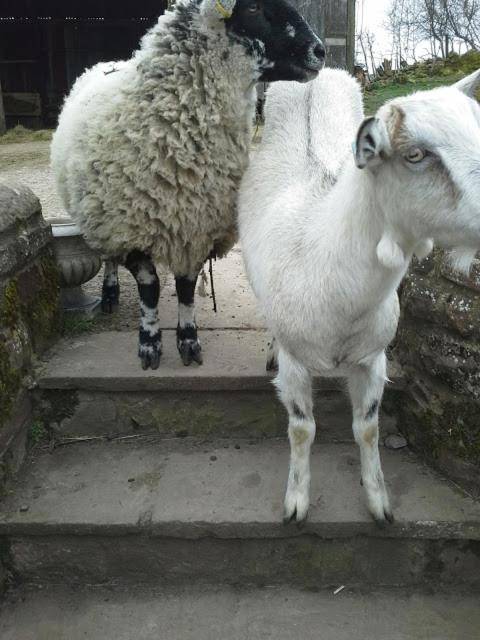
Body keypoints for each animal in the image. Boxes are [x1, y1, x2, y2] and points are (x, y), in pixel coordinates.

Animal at [50, 0, 324, 368]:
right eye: (253, 8)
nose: (320, 51)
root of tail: (106, 63)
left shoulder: (196, 228)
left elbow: (185, 287)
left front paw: (189, 340)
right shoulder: (129, 228)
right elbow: (150, 286)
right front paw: (150, 343)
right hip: (101, 214)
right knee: (108, 256)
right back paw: (109, 293)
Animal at [239, 66, 480, 524]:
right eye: (415, 155)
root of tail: (318, 75)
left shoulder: (373, 357)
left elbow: (367, 427)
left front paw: (379, 502)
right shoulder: (297, 364)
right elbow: (302, 429)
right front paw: (296, 503)